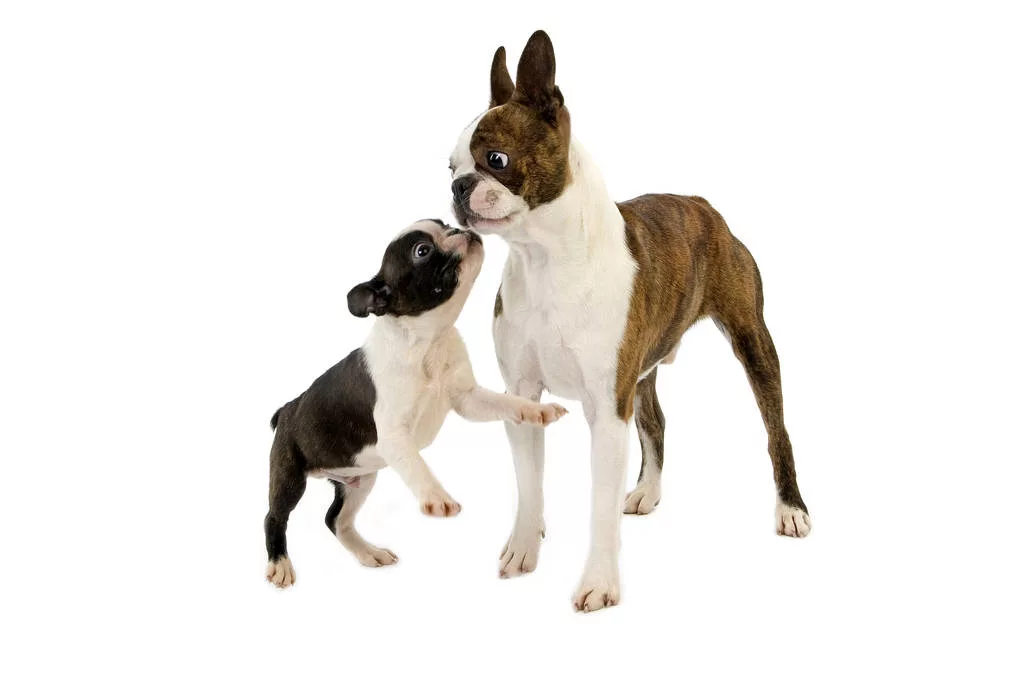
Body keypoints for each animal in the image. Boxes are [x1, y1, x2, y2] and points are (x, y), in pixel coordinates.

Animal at [264, 219, 569, 589]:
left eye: (443, 224)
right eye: (422, 251)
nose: (459, 229)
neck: (428, 342)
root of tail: (286, 409)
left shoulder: (468, 399)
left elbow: (505, 402)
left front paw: (537, 410)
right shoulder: (394, 436)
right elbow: (417, 465)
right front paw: (436, 497)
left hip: (360, 478)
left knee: (336, 520)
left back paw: (369, 553)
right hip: (289, 473)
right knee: (275, 516)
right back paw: (280, 564)